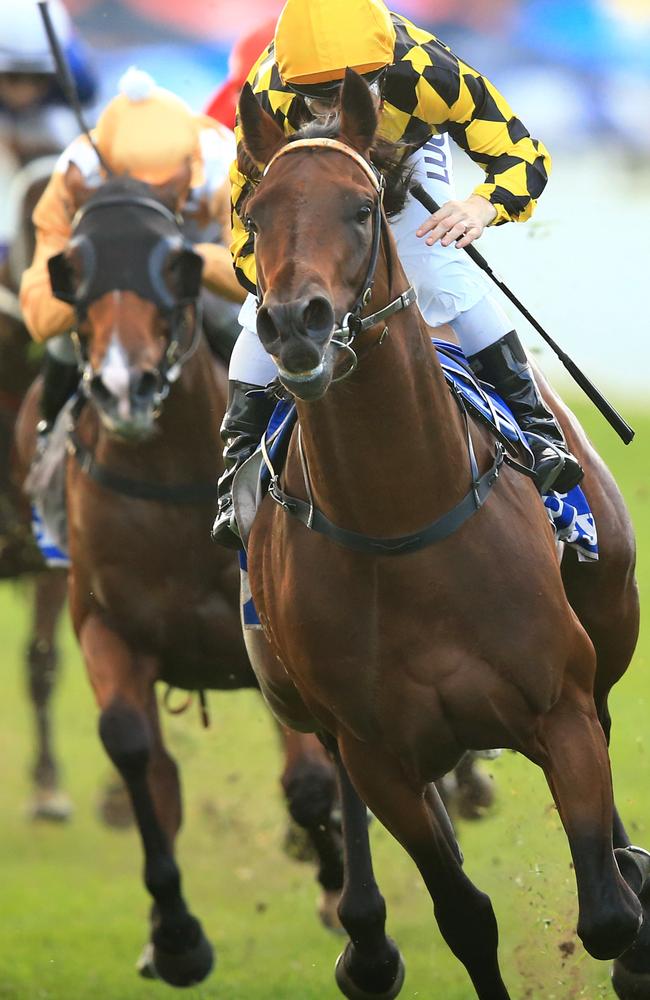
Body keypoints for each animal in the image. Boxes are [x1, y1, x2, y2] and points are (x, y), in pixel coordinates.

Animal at [12, 176, 344, 988]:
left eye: (173, 267)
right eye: (75, 272)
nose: (122, 388)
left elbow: (312, 781)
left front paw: (337, 891)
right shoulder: (109, 625)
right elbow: (135, 751)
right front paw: (175, 934)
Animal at [235, 72, 644, 1000]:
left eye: (359, 208)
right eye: (256, 214)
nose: (296, 323)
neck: (400, 519)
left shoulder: (560, 705)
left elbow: (608, 910)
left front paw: (635, 933)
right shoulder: (379, 755)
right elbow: (464, 914)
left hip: (606, 632)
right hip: (311, 709)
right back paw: (365, 940)